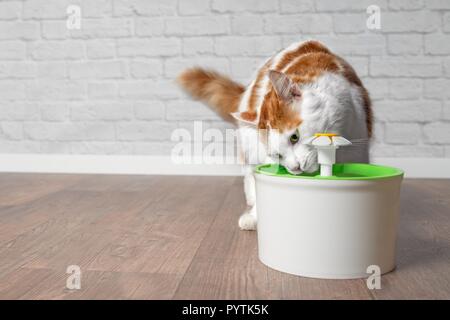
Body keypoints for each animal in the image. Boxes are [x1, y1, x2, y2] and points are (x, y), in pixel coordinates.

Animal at [178, 39, 370, 230]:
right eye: (277, 155)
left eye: (294, 137)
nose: (295, 168)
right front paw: (255, 217)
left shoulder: (357, 143)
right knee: (250, 176)